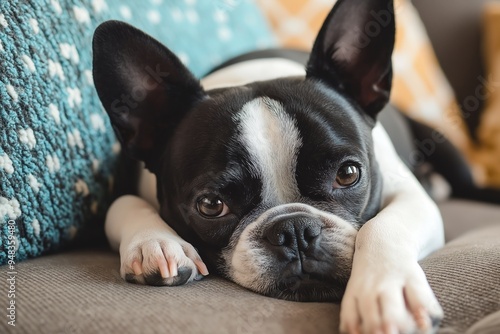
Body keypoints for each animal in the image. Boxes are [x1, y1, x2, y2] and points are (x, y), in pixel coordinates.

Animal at [94, 0, 446, 332]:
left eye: (348, 174)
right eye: (211, 206)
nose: (294, 229)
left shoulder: (409, 195)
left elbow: (383, 225)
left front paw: (384, 291)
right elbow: (121, 202)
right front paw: (155, 243)